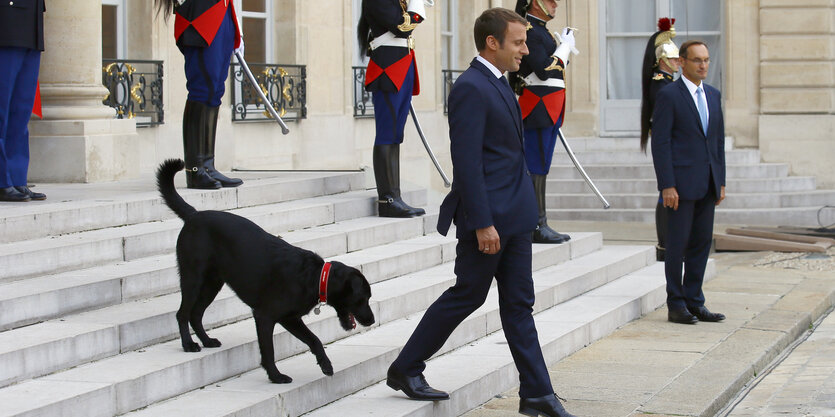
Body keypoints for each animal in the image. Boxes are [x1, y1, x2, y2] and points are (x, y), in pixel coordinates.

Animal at [156, 160, 376, 384]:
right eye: (362, 298)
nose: (372, 320)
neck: (315, 278)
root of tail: (194, 215)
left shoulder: (290, 318)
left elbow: (314, 339)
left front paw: (325, 364)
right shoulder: (265, 316)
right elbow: (269, 350)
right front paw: (275, 376)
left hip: (212, 284)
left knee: (196, 314)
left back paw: (207, 340)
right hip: (193, 278)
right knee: (183, 313)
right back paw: (188, 344)